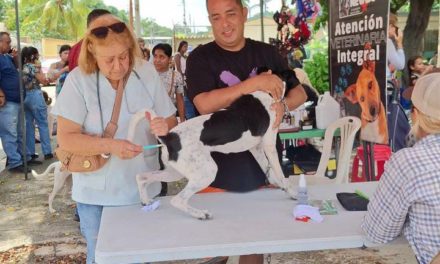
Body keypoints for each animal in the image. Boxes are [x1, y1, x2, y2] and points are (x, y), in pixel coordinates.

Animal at [134, 69, 300, 220]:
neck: (266, 93)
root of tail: (168, 137)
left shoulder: (256, 147)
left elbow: (269, 170)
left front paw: (278, 185)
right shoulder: (269, 144)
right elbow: (280, 172)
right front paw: (291, 191)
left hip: (174, 172)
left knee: (142, 177)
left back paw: (145, 200)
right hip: (207, 171)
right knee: (177, 200)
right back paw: (200, 214)